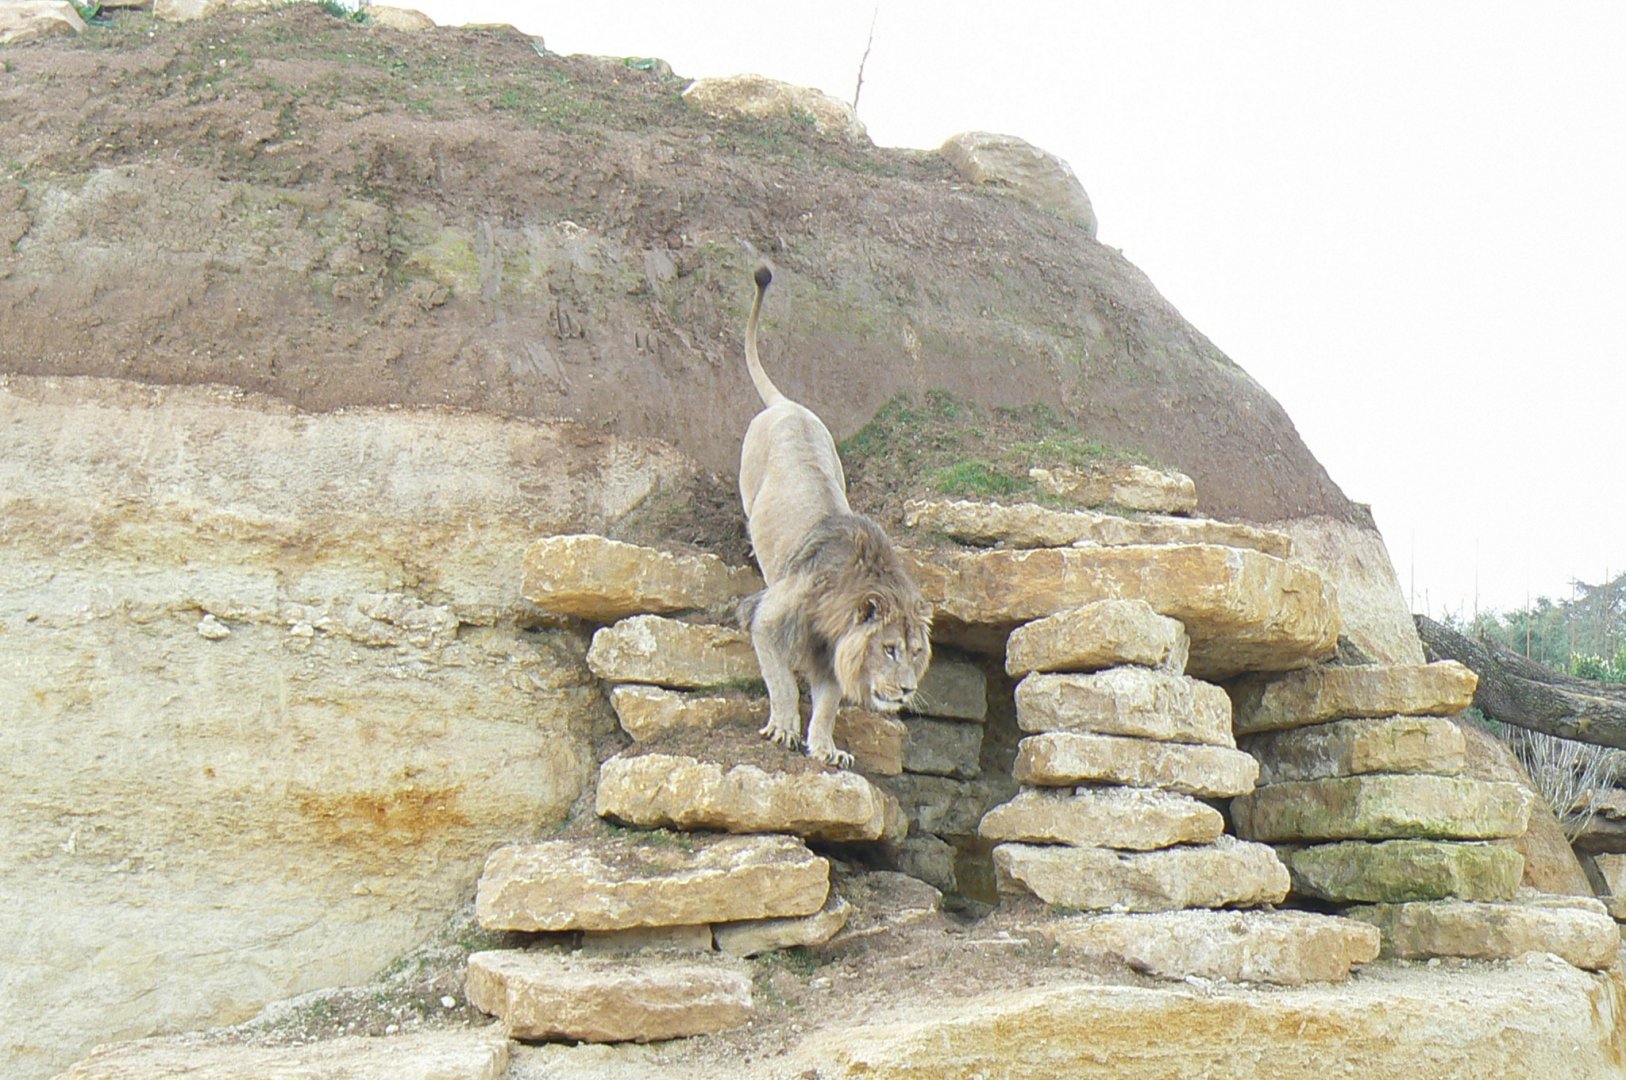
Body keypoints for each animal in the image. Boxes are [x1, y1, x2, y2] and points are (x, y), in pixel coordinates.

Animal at [736, 264, 933, 767]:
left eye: (915, 651)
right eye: (889, 649)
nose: (907, 691)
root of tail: (787, 404)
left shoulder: (830, 654)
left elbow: (827, 705)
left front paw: (826, 749)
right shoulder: (769, 620)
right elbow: (783, 684)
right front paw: (784, 728)